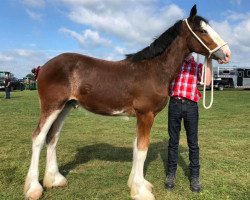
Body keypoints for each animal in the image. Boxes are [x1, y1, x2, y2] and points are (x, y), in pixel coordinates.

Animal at [24, 4, 231, 200]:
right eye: (202, 31)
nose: (227, 54)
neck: (154, 70)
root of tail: (44, 67)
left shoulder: (141, 117)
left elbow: (136, 146)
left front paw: (137, 184)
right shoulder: (146, 115)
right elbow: (142, 149)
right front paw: (141, 191)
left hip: (64, 107)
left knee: (53, 137)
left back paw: (55, 180)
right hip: (52, 106)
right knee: (38, 137)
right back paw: (34, 188)